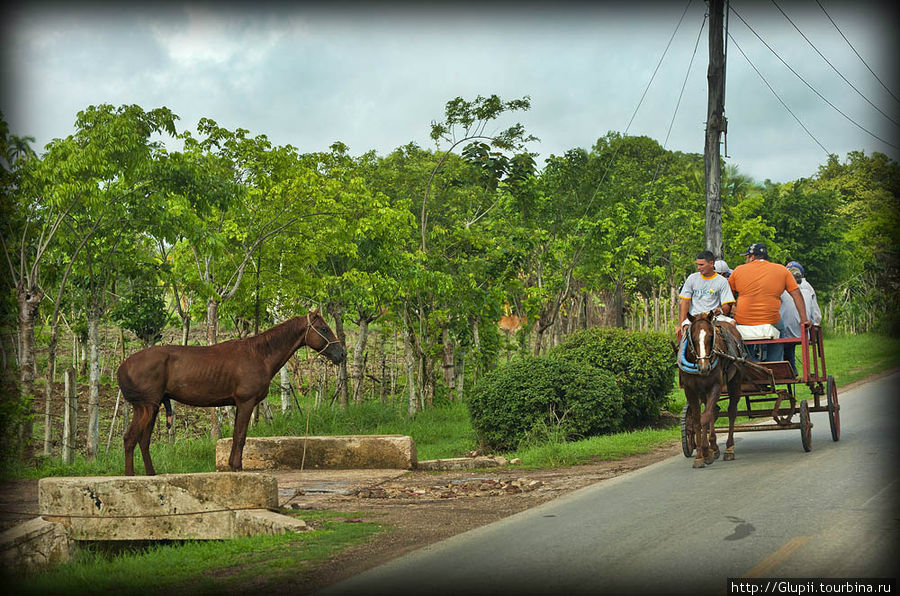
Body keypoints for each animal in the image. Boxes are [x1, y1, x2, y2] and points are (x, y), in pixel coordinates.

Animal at [119, 312, 344, 474]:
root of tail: (122, 367)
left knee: (143, 441)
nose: (342, 354)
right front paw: (236, 466)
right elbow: (240, 436)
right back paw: (130, 476)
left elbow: (237, 435)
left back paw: (151, 474)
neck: (259, 354)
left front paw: (233, 464)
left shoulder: (239, 404)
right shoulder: (246, 402)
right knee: (130, 439)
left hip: (153, 407)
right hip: (145, 407)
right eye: (324, 328)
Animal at [684, 312, 744, 470]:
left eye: (711, 337)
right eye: (692, 338)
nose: (704, 367)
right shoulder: (690, 390)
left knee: (731, 411)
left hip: (735, 381)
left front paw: (706, 452)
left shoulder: (715, 386)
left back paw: (729, 449)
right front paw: (700, 456)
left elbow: (704, 418)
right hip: (703, 392)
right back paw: (714, 447)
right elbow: (697, 422)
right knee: (713, 411)